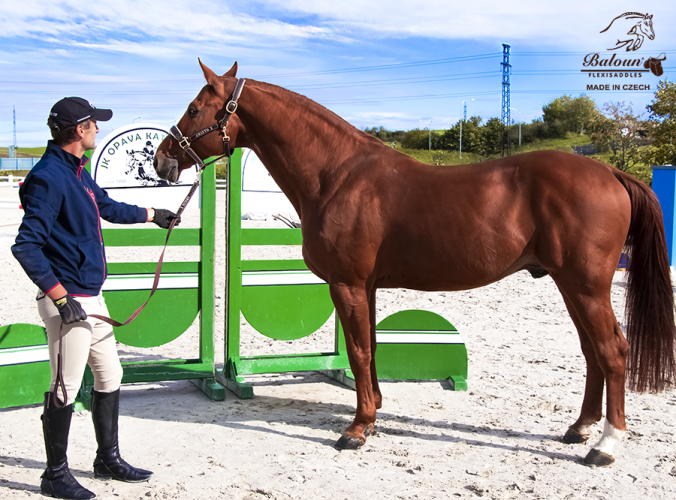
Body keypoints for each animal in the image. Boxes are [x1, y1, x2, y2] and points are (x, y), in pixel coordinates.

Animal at [154, 60, 676, 466]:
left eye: (195, 108)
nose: (161, 159)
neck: (337, 175)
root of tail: (611, 171)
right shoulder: (364, 287)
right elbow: (369, 348)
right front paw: (373, 414)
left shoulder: (347, 284)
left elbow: (359, 352)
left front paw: (357, 429)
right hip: (571, 286)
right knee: (592, 352)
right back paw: (580, 427)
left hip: (586, 287)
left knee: (613, 351)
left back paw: (605, 445)